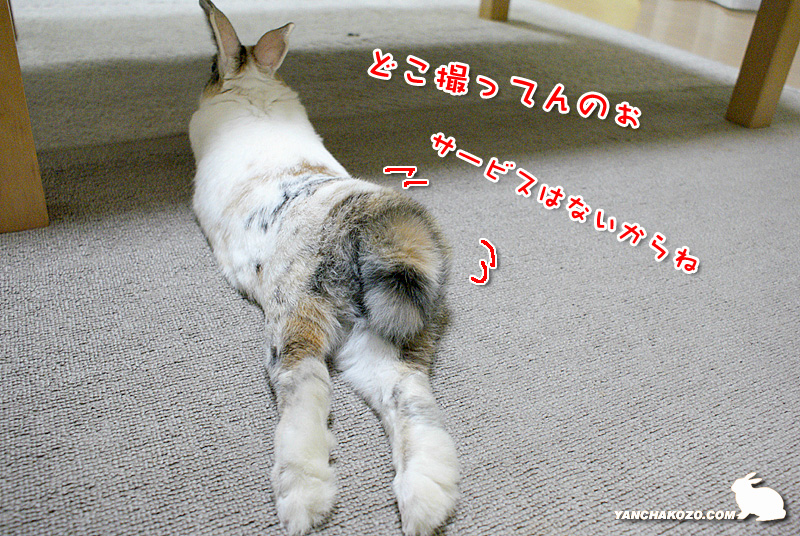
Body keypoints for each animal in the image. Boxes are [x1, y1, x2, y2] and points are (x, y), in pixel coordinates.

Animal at [188, 1, 459, 535]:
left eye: (211, 67)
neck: (253, 87)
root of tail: (377, 223)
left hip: (298, 310)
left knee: (306, 383)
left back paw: (303, 496)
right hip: (392, 336)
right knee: (410, 398)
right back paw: (425, 500)